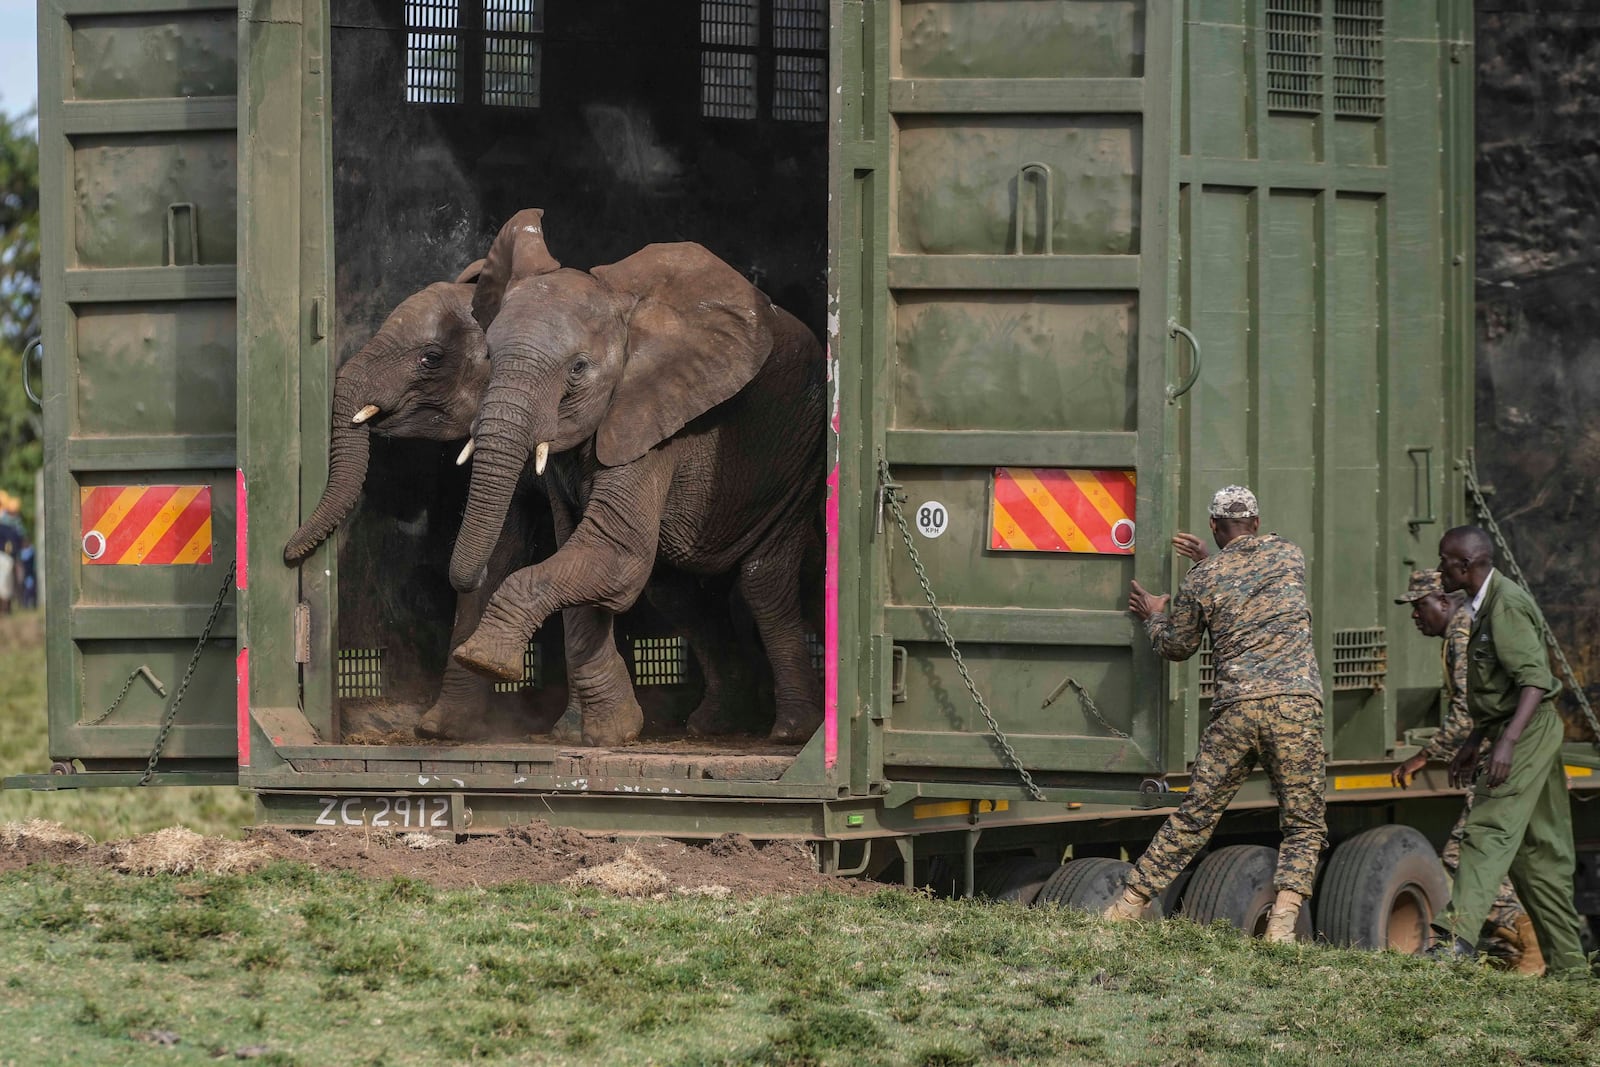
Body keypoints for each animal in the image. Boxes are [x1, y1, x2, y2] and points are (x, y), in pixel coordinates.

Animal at [448, 212, 825, 748]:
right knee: (678, 594)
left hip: (800, 453)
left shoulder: (653, 421)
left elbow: (615, 554)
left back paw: (790, 733)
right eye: (487, 359)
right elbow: (579, 555)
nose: (474, 574)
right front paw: (603, 733)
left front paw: (484, 660)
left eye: (578, 368)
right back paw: (715, 726)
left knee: (762, 582)